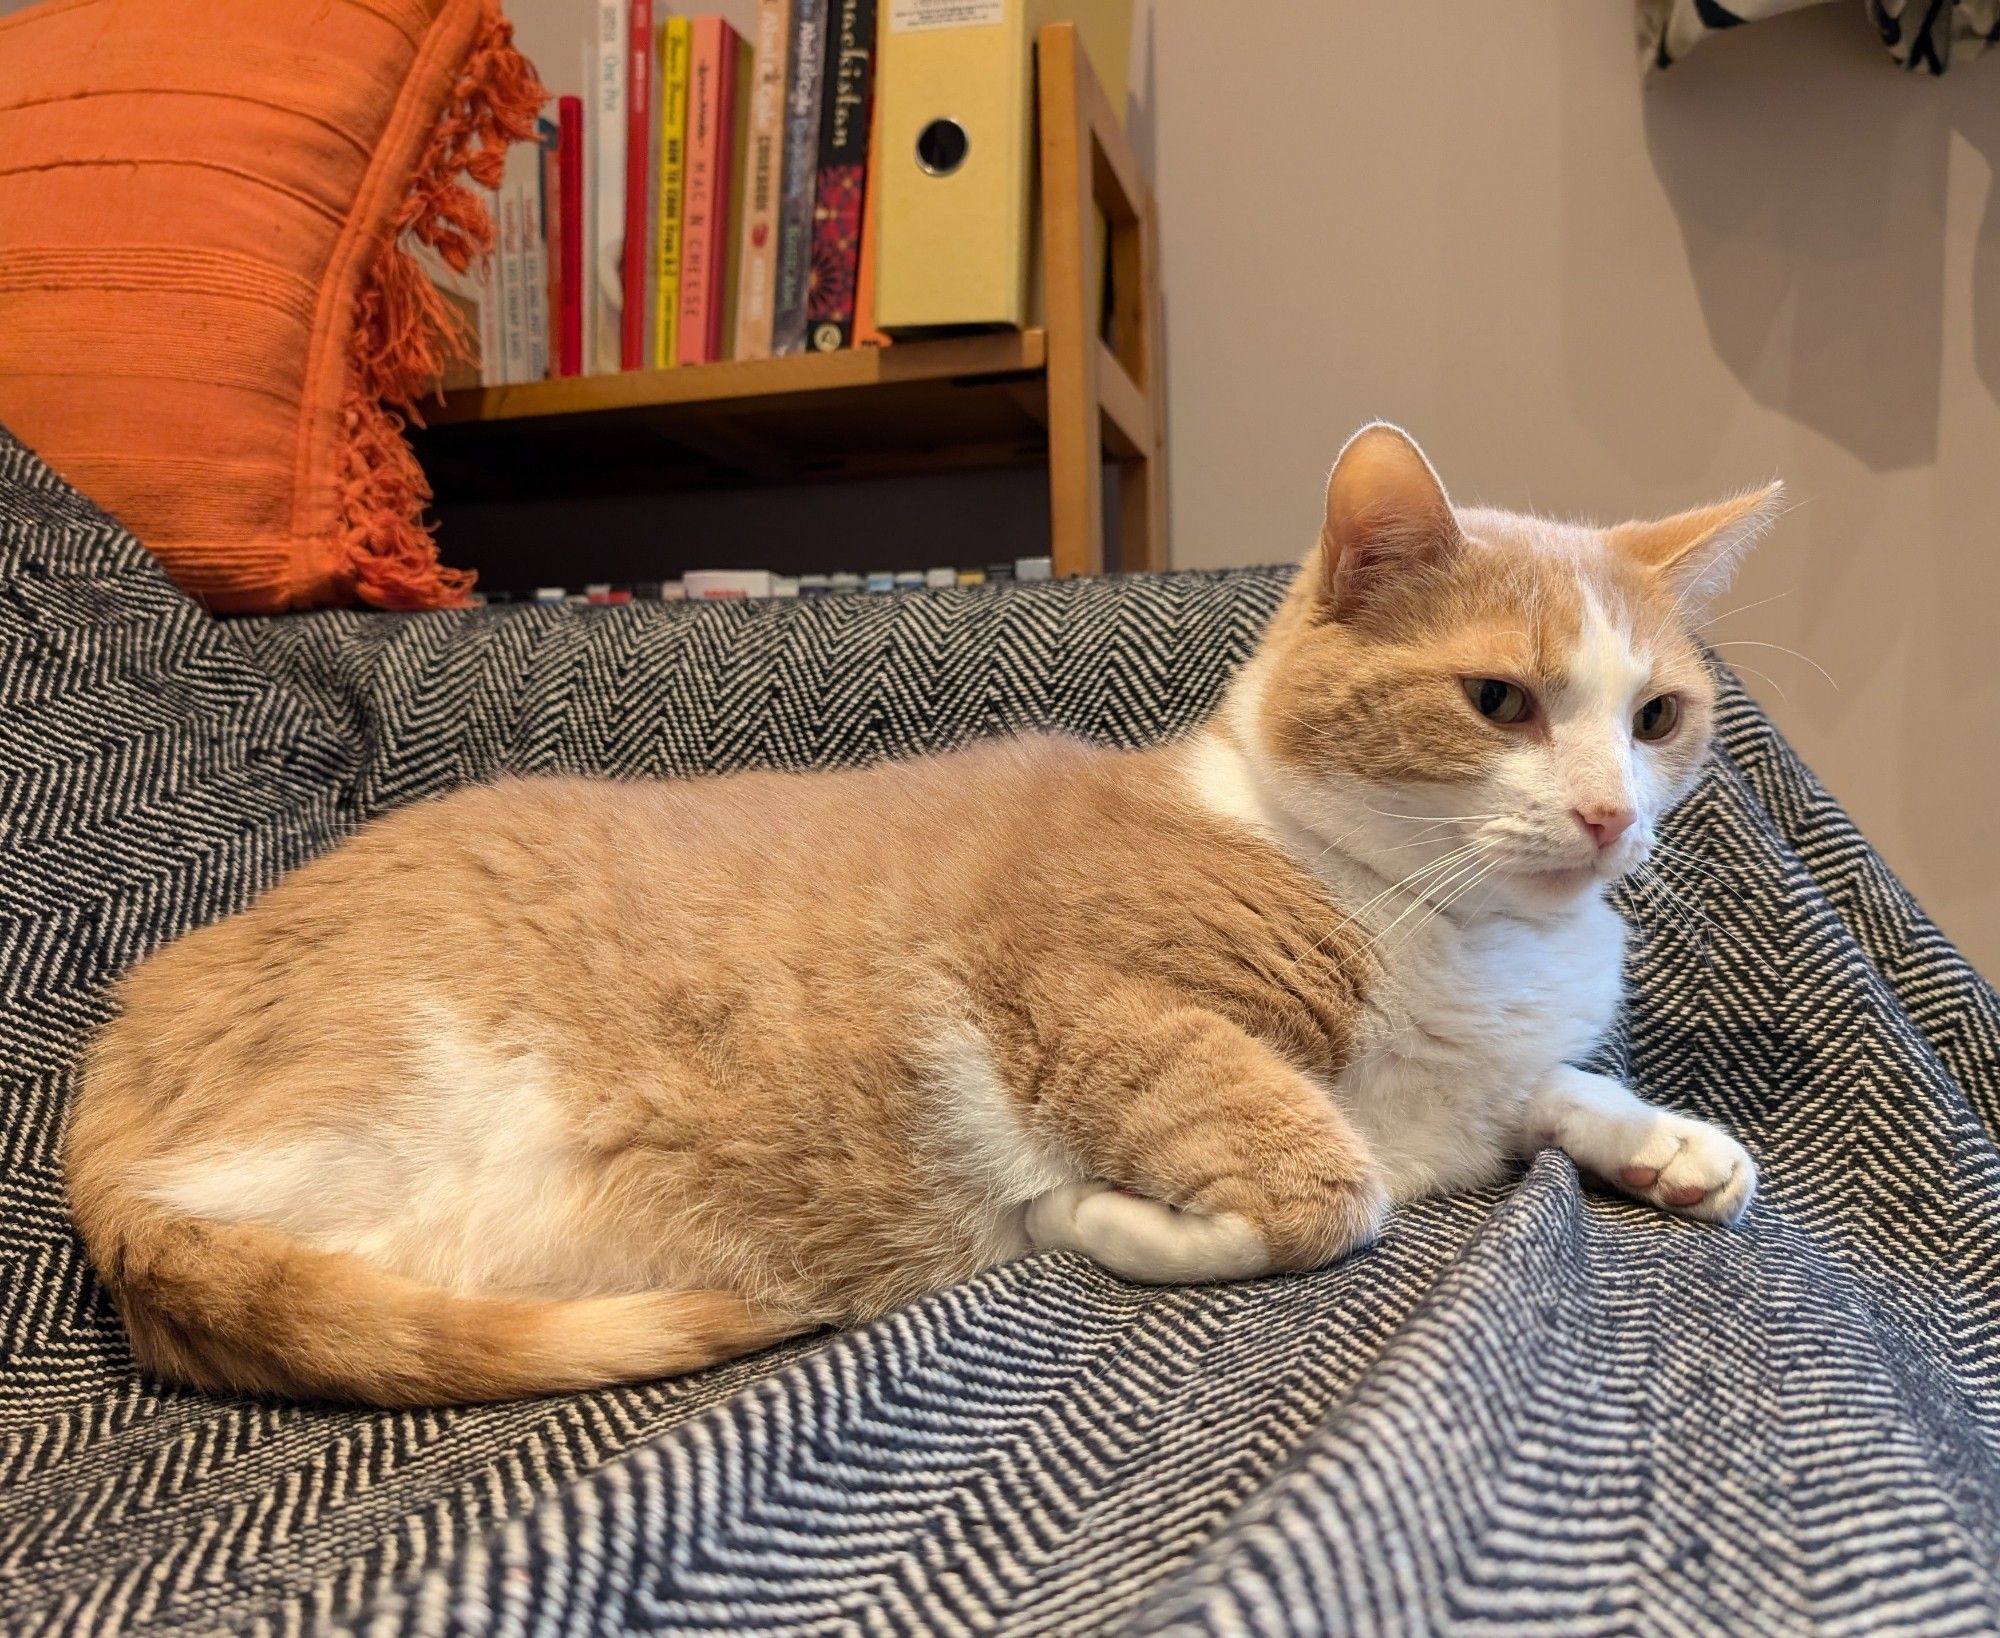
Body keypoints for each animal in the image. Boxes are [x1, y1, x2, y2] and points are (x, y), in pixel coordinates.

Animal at [70, 426, 1776, 1408]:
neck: (1450, 927)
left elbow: (1539, 1094)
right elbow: (1325, 1184)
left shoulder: (1475, 1079)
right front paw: (1106, 1221)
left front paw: (1665, 1141)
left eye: (1656, 716)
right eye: (1499, 702)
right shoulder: (1088, 1004)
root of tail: (114, 1070)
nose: (1610, 813)